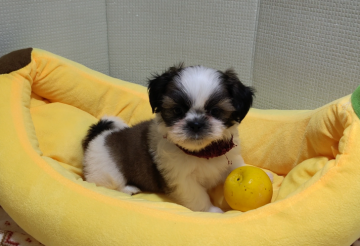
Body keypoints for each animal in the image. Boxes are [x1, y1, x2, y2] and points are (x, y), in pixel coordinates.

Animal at [82, 64, 255, 212]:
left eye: (215, 111)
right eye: (177, 110)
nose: (196, 124)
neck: (203, 153)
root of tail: (100, 134)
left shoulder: (231, 157)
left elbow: (238, 167)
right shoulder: (182, 180)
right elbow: (197, 196)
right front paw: (211, 211)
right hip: (106, 171)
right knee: (107, 184)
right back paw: (128, 189)